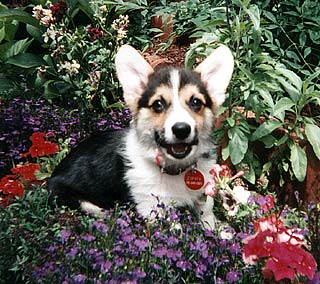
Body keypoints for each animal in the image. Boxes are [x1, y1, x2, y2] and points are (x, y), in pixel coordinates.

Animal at [48, 45, 234, 231]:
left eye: (196, 102)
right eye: (158, 104)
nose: (181, 129)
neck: (174, 169)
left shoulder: (202, 193)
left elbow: (207, 214)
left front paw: (219, 230)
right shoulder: (153, 208)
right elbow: (175, 231)